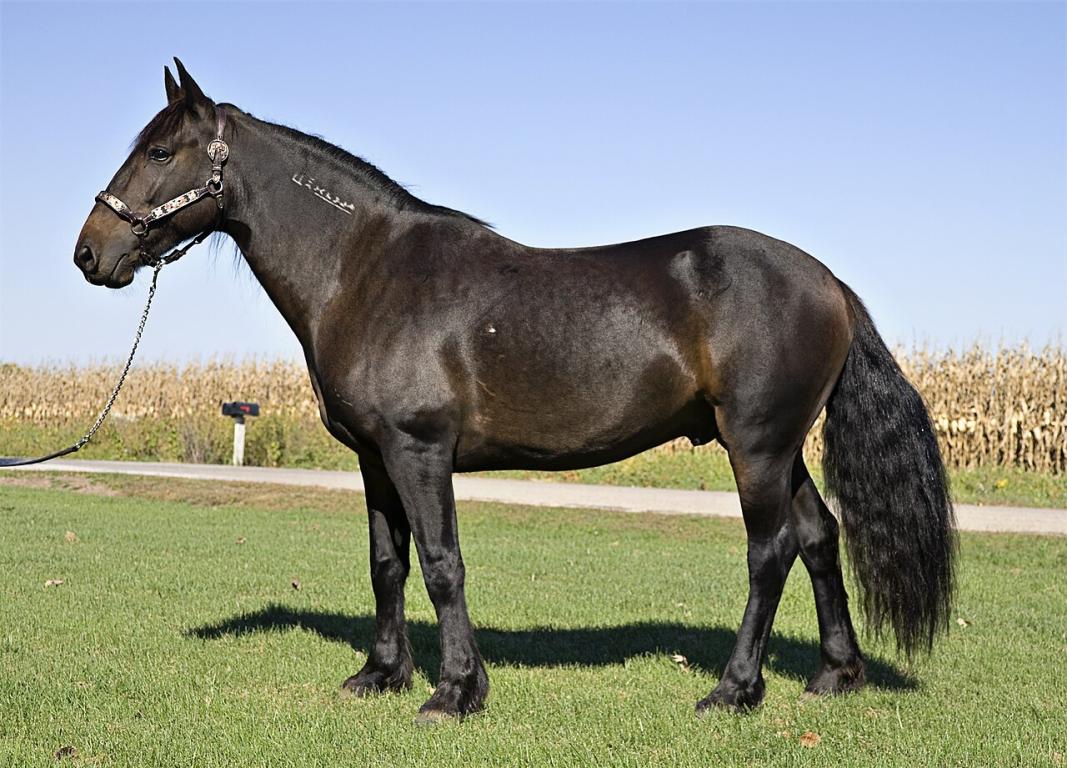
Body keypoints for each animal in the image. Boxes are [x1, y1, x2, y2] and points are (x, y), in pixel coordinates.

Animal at [73, 60, 955, 723]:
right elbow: (386, 564)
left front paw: (455, 692)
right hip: (775, 446)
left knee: (769, 552)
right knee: (818, 536)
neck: (366, 272)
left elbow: (441, 564)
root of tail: (827, 281)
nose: (90, 252)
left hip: (758, 445)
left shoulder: (419, 451)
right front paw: (379, 675)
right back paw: (833, 675)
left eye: (160, 154)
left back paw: (733, 691)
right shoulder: (374, 459)